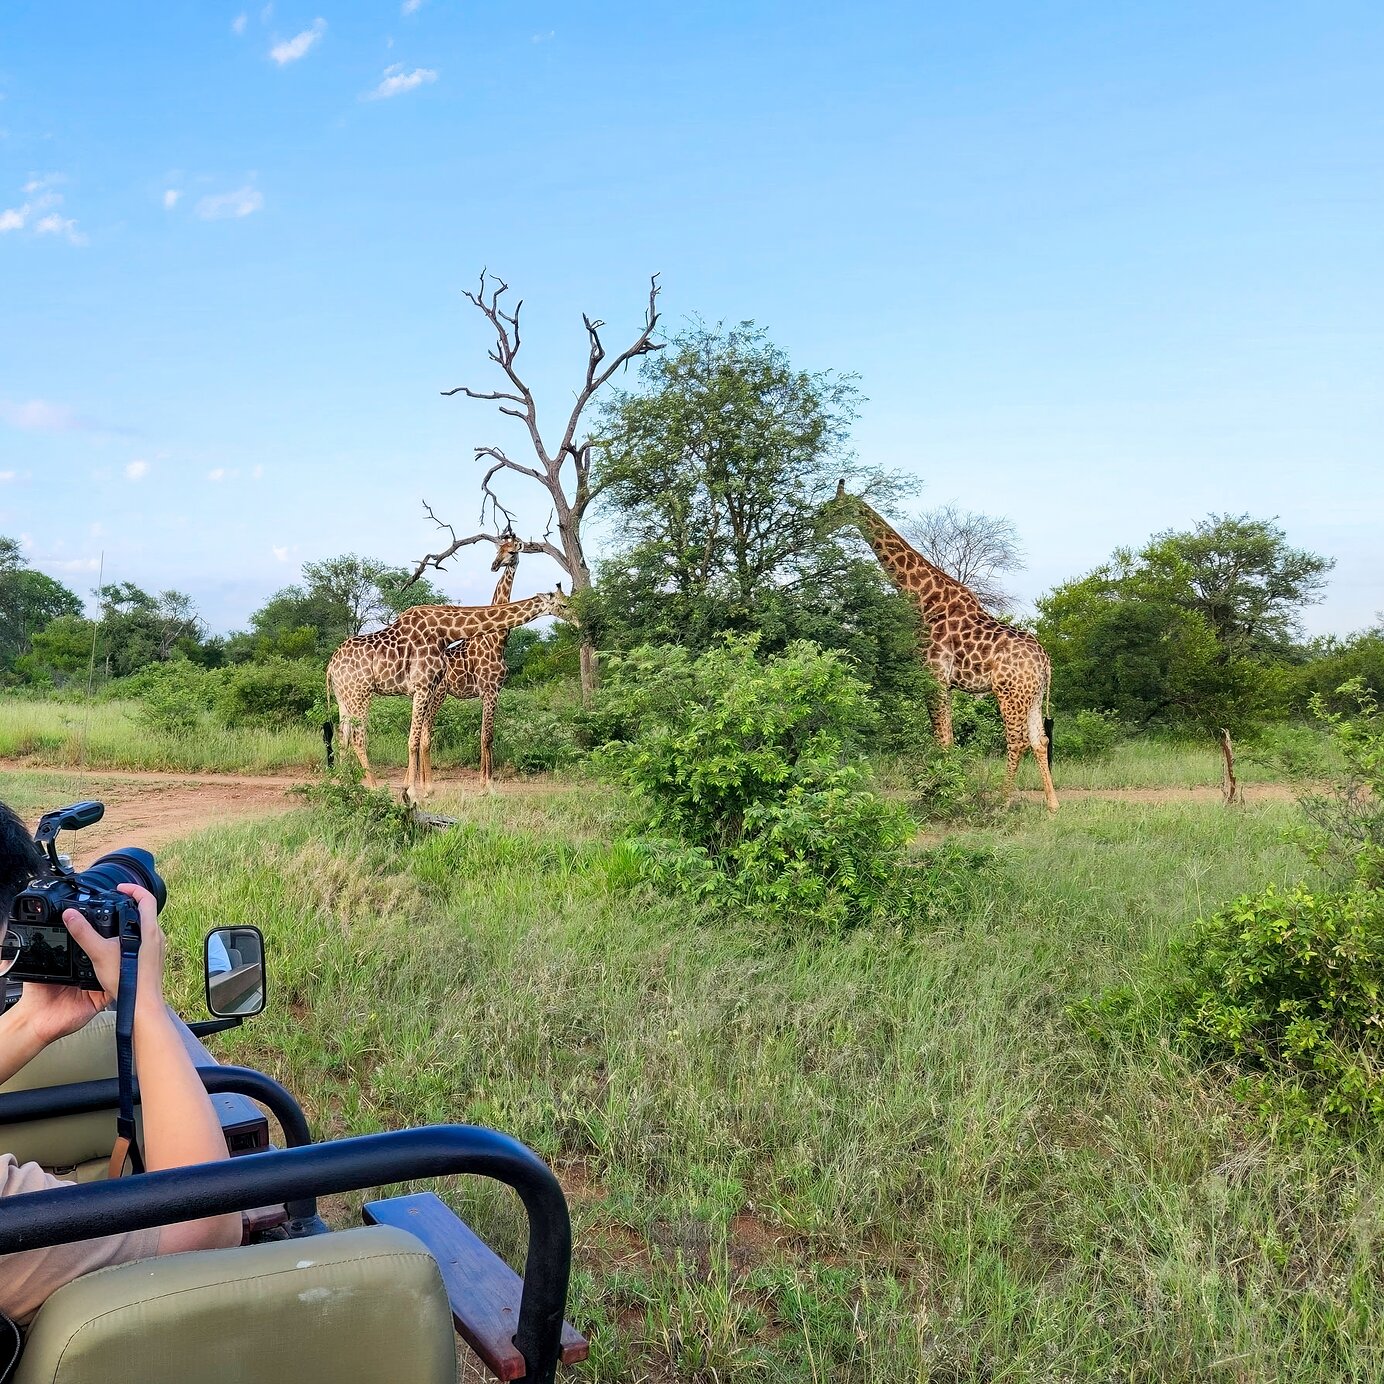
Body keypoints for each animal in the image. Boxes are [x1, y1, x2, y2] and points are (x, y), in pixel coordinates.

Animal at [325, 587, 575, 804]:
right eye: (564, 604)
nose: (579, 619)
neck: (445, 632)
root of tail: (330, 666)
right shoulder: (423, 686)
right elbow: (414, 739)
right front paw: (412, 793)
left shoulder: (428, 688)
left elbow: (420, 737)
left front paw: (412, 789)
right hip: (361, 693)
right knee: (358, 737)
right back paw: (375, 788)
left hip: (344, 697)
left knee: (343, 736)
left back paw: (346, 785)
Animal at [827, 482, 1059, 811]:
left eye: (830, 509)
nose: (814, 528)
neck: (923, 598)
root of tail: (1045, 660)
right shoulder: (946, 683)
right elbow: (947, 738)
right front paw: (950, 789)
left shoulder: (934, 676)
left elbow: (941, 739)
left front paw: (943, 792)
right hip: (1033, 694)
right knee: (1040, 740)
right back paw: (1052, 805)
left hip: (1009, 693)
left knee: (1017, 740)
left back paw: (1002, 801)